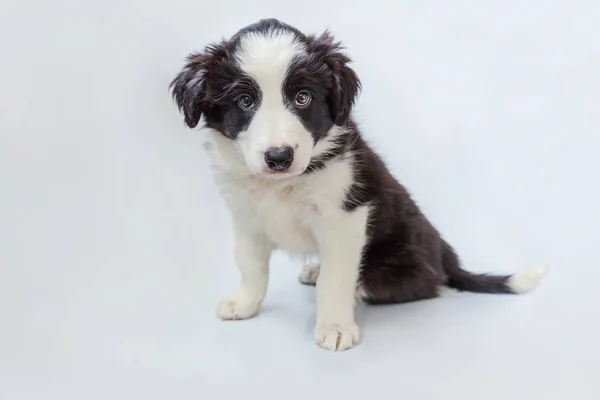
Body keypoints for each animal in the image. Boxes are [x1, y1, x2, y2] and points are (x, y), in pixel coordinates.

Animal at [170, 18, 548, 350]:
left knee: (411, 285)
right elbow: (250, 266)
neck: (283, 184)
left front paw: (335, 327)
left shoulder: (344, 218)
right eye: (244, 102)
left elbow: (335, 280)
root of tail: (445, 256)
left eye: (303, 98)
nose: (279, 157)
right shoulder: (246, 217)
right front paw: (245, 303)